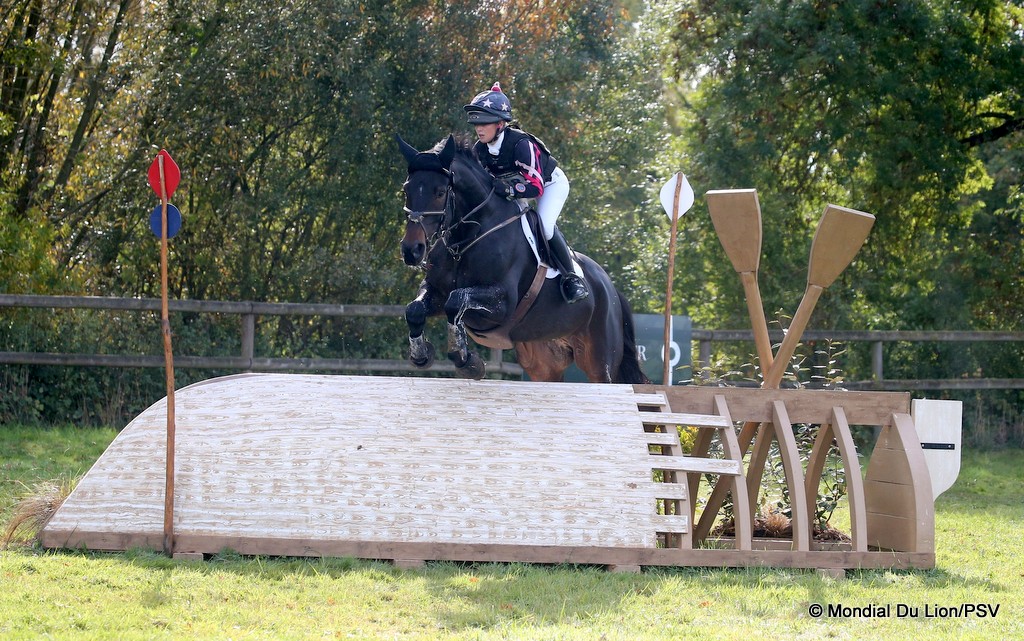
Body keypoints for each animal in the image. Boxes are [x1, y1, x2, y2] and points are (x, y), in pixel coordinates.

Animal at [396, 134, 650, 384]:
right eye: (407, 189)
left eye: (440, 192)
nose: (412, 250)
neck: (466, 240)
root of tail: (611, 289)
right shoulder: (435, 291)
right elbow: (415, 309)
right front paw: (421, 355)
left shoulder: (502, 303)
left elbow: (456, 301)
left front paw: (467, 361)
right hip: (543, 363)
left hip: (599, 360)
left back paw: (575, 287)